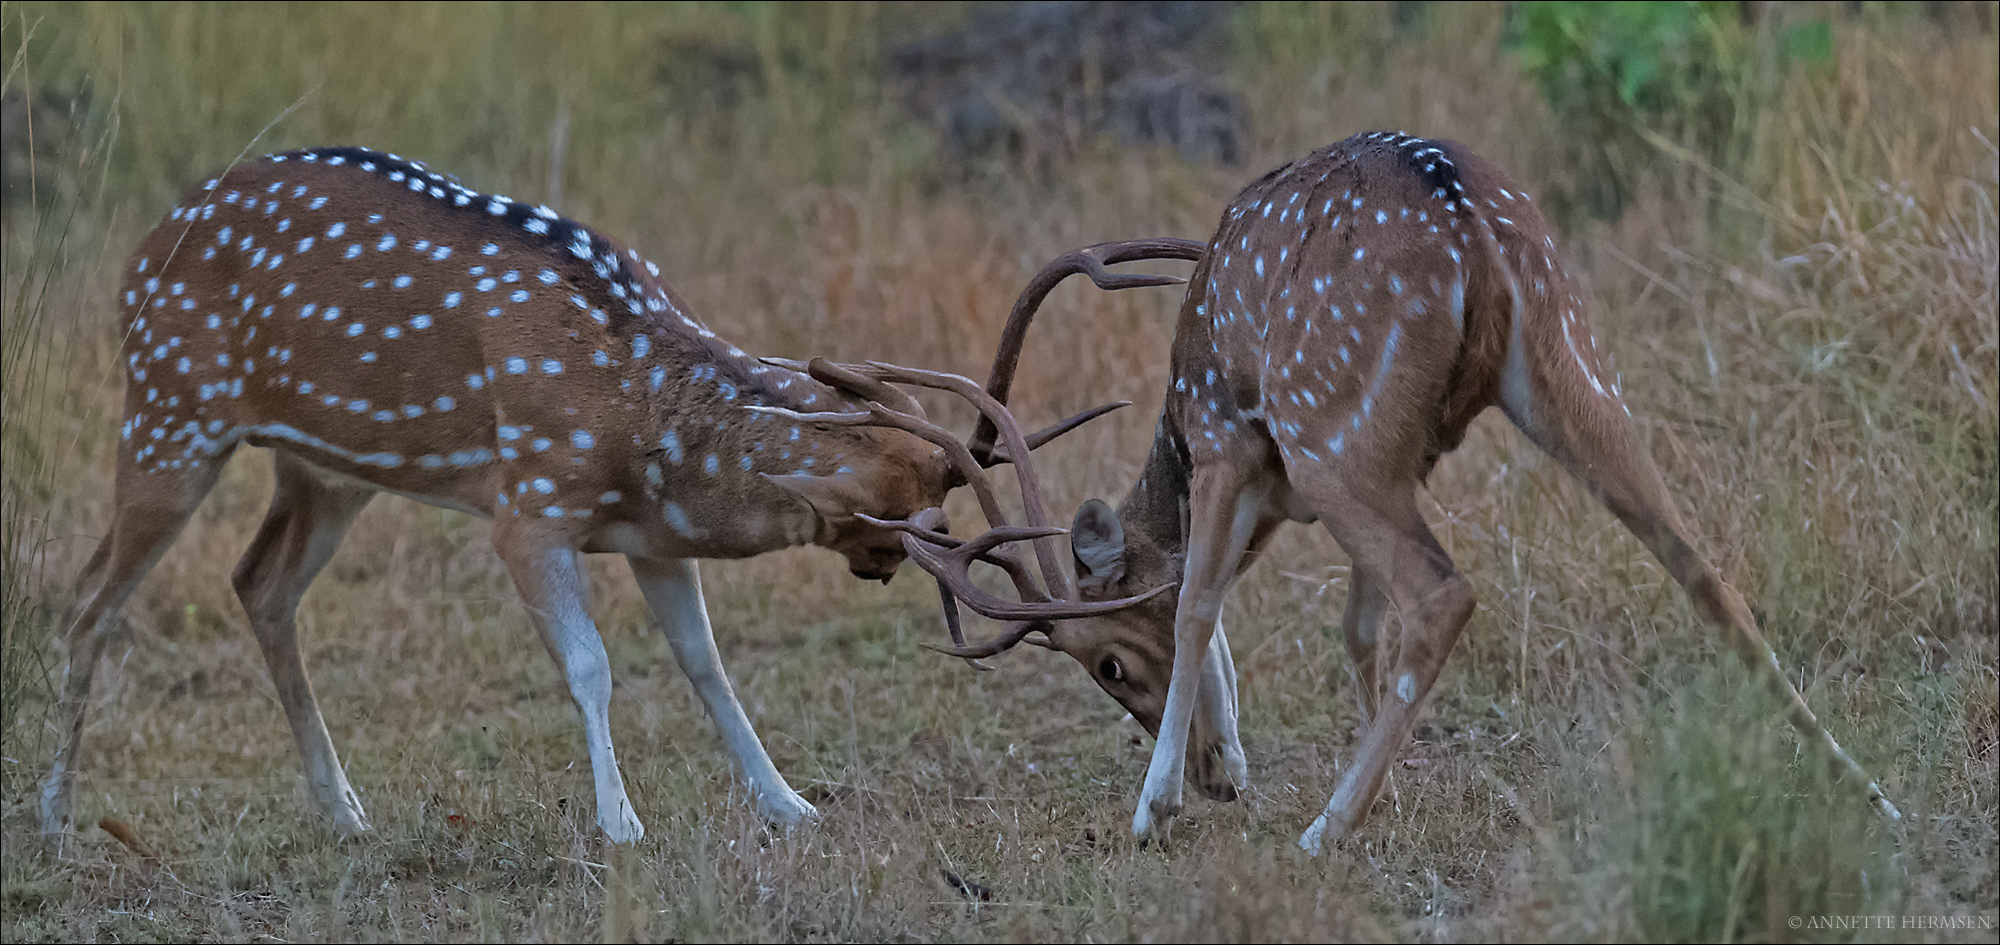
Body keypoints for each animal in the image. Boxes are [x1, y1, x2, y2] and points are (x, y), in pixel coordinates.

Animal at [39, 146, 1168, 840]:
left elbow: (706, 665)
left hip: (324, 471)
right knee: (87, 598)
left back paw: (344, 811)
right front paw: (619, 823)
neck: (639, 421)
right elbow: (590, 666)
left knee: (258, 582)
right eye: (894, 523)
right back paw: (54, 814)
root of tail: (138, 252)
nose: (885, 567)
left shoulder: (650, 533)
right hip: (169, 417)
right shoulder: (529, 506)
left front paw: (789, 804)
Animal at [896, 135, 1904, 856]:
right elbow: (1357, 625)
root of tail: (1472, 228)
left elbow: (1195, 604)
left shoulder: (1227, 437)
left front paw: (1156, 808)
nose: (1220, 779)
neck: (1178, 439)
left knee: (1446, 590)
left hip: (1325, 427)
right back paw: (1871, 793)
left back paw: (1320, 830)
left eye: (1105, 662)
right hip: (1567, 365)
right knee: (1703, 569)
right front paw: (1374, 788)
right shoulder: (1399, 462)